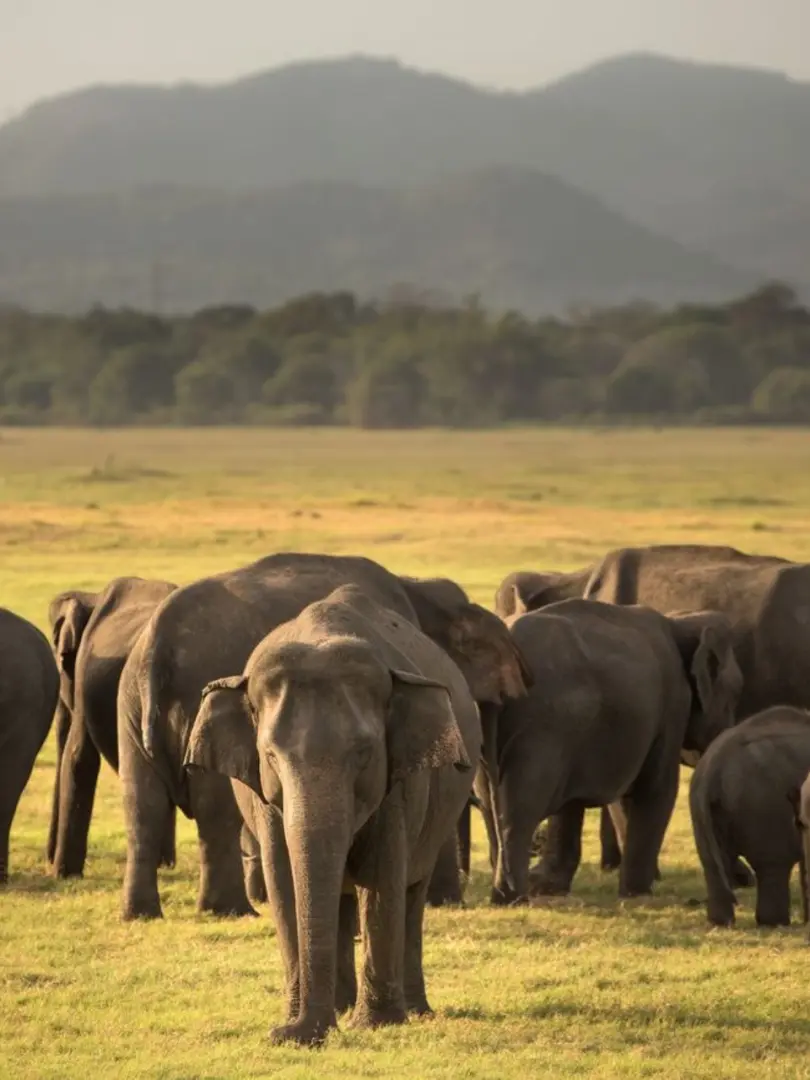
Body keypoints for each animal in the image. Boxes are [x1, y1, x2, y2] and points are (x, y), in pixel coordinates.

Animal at [117, 552, 530, 921]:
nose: (504, 893)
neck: (416, 588)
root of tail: (157, 642)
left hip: (130, 703)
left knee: (141, 803)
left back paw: (141, 914)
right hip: (188, 697)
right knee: (213, 809)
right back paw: (232, 911)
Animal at [184, 584, 482, 1046]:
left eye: (364, 753)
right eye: (271, 755)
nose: (290, 1034)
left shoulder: (398, 786)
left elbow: (380, 877)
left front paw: (374, 1025)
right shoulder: (265, 800)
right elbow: (285, 880)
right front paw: (295, 1024)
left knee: (412, 890)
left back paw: (412, 1010)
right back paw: (341, 1005)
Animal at [481, 599, 741, 904]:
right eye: (737, 691)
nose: (743, 882)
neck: (680, 620)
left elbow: (591, 800)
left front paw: (548, 887)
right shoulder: (672, 703)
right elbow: (657, 788)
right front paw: (638, 893)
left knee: (490, 803)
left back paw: (508, 893)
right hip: (541, 727)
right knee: (520, 805)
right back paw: (514, 897)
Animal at [690, 706, 810, 927]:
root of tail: (713, 766)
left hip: (699, 811)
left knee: (712, 864)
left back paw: (721, 922)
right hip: (765, 805)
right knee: (774, 865)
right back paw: (776, 923)